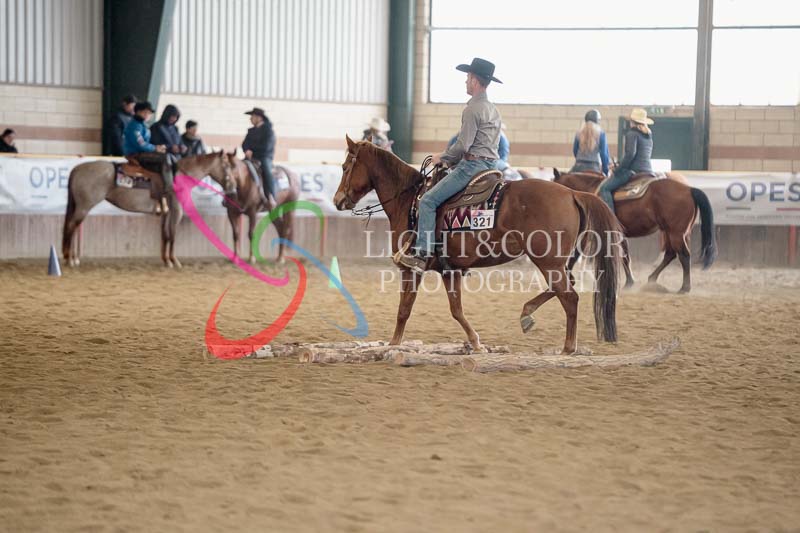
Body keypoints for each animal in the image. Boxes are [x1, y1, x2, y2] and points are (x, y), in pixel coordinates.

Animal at [62, 152, 235, 268]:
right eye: (227, 165)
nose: (233, 188)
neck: (178, 177)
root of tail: (77, 169)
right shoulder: (177, 211)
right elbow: (173, 234)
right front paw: (174, 261)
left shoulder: (167, 213)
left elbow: (165, 234)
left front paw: (166, 260)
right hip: (84, 207)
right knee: (71, 227)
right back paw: (69, 259)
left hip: (81, 207)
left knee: (74, 227)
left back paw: (74, 258)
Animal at [334, 136, 624, 355]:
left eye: (346, 166)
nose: (337, 200)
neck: (410, 200)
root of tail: (573, 193)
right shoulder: (450, 271)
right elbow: (456, 310)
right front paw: (475, 343)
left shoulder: (411, 268)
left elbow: (404, 309)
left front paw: (393, 344)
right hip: (559, 261)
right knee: (565, 287)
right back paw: (527, 314)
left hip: (548, 260)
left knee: (569, 296)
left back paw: (568, 346)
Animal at [552, 169, 717, 293]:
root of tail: (689, 189)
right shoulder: (618, 233)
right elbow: (625, 256)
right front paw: (629, 282)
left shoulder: (591, 231)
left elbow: (575, 254)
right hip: (672, 232)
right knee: (670, 254)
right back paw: (652, 280)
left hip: (676, 233)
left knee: (683, 255)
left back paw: (684, 288)